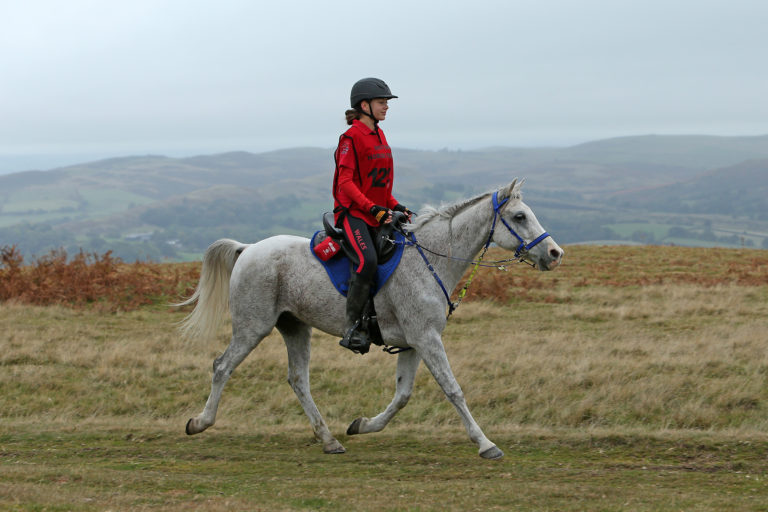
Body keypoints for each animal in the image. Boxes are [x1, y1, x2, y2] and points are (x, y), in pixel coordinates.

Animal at [178, 179, 563, 459]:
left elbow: (403, 395)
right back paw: (200, 422)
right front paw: (486, 444)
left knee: (298, 380)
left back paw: (329, 439)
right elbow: (452, 389)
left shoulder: (413, 343)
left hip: (295, 327)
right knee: (222, 366)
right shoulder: (426, 338)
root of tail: (248, 249)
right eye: (519, 217)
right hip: (252, 327)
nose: (554, 253)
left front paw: (361, 425)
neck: (431, 261)